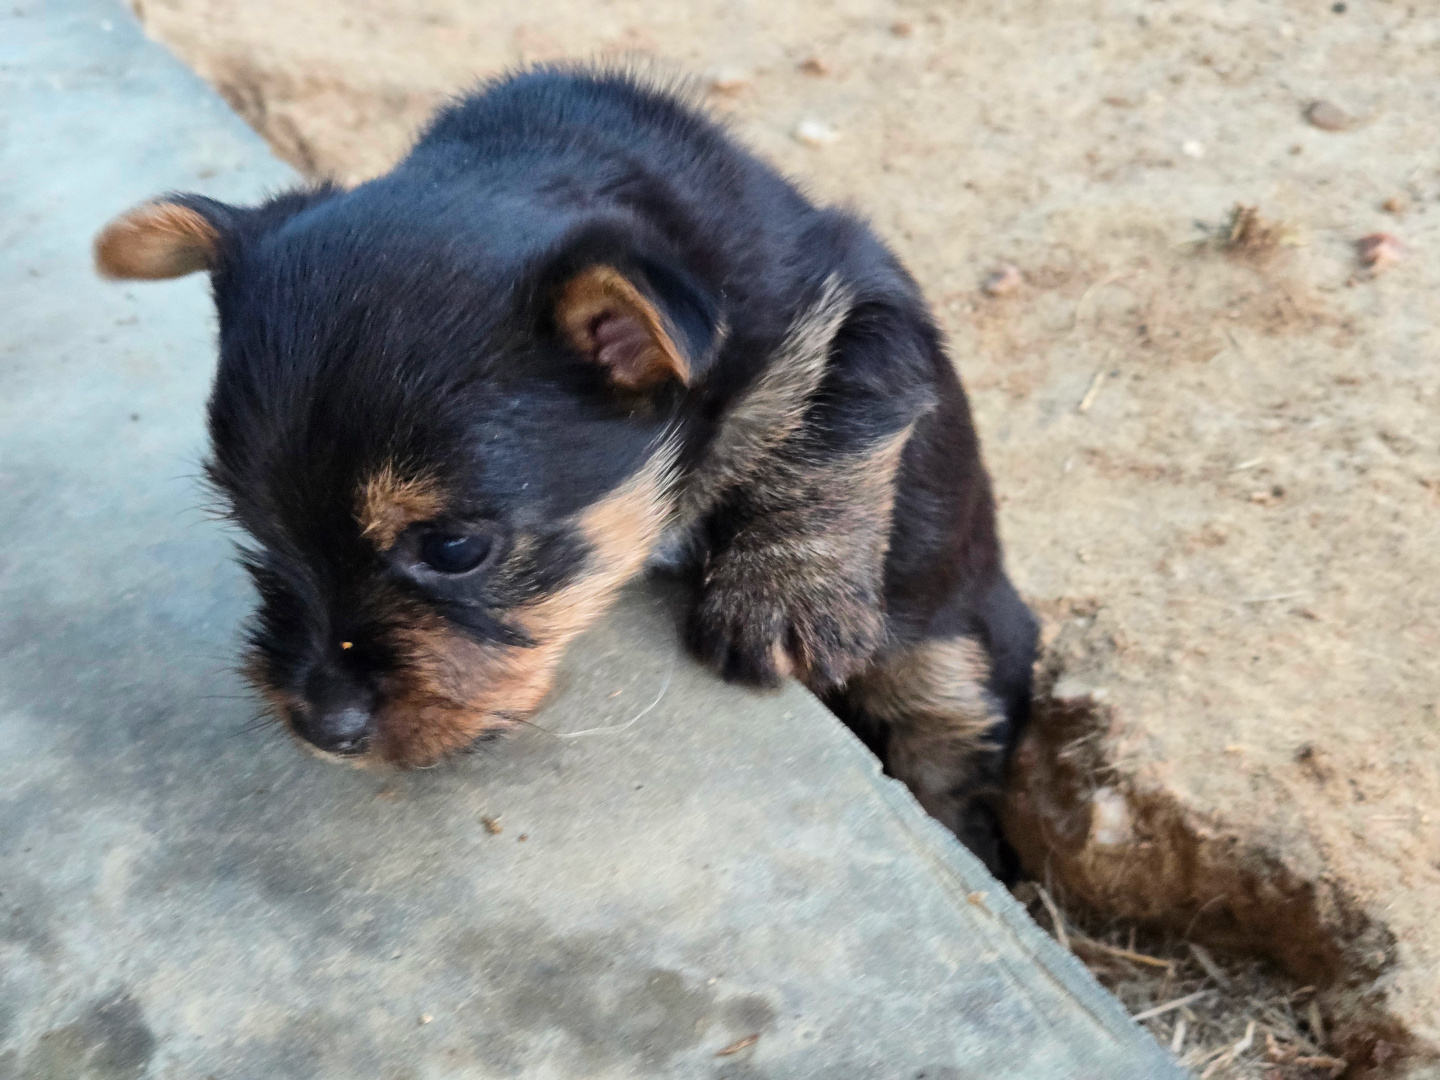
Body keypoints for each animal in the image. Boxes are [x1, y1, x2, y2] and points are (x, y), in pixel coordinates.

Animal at [95, 67, 1038, 878]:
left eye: (452, 548)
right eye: (254, 526)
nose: (324, 727)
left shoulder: (861, 286)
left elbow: (845, 403)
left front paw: (785, 592)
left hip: (959, 647)